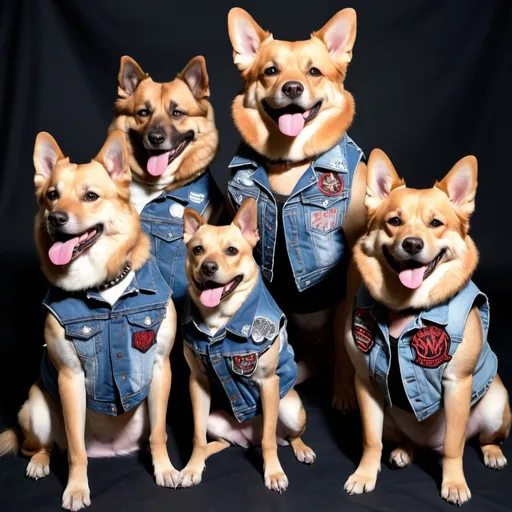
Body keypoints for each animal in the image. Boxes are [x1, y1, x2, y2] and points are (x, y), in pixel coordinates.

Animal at [0, 131, 180, 508]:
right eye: (52, 195)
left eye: (91, 196)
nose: (56, 218)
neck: (102, 285)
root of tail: (109, 451)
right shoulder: (70, 379)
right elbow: (75, 450)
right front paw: (76, 488)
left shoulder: (160, 367)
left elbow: (159, 434)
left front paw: (165, 469)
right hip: (35, 408)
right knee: (40, 447)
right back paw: (40, 463)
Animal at [177, 199, 316, 492]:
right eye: (198, 249)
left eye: (231, 250)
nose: (208, 267)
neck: (219, 317)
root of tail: (246, 438)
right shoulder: (197, 383)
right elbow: (197, 436)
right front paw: (192, 467)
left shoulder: (268, 383)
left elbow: (267, 441)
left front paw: (273, 473)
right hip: (215, 419)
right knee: (221, 442)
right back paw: (206, 455)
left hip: (290, 409)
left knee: (282, 437)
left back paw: (301, 449)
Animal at [226, 8, 366, 408]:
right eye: (271, 71)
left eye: (314, 71)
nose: (292, 88)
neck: (289, 163)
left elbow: (345, 344)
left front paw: (343, 393)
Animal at [346, 150, 510, 506]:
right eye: (394, 221)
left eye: (436, 224)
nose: (411, 244)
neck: (406, 307)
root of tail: (425, 445)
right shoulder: (365, 382)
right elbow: (370, 440)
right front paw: (365, 474)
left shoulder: (457, 384)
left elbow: (453, 446)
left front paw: (454, 483)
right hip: (391, 417)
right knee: (401, 440)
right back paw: (403, 452)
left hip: (495, 404)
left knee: (479, 439)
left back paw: (492, 453)